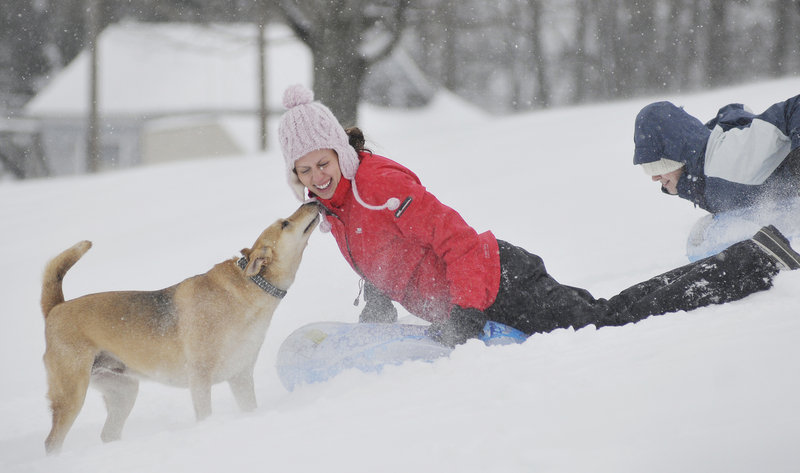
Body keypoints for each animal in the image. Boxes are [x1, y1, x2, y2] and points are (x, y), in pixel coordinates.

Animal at [40, 201, 320, 452]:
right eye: (285, 224)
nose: (312, 202)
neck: (251, 287)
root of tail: (56, 308)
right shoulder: (201, 377)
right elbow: (205, 414)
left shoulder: (240, 375)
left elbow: (249, 407)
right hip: (72, 394)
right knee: (52, 441)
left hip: (124, 391)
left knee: (108, 434)